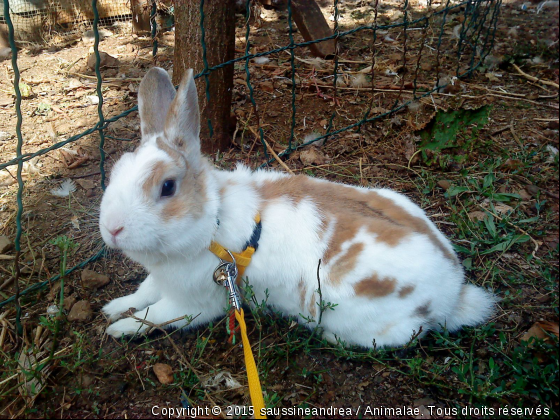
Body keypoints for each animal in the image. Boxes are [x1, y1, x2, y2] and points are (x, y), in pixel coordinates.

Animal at [99, 66, 494, 348]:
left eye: (167, 187)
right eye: (116, 170)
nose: (112, 229)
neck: (213, 223)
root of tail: (453, 292)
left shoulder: (194, 303)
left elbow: (154, 315)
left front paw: (119, 328)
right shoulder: (161, 280)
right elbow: (142, 293)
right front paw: (112, 307)